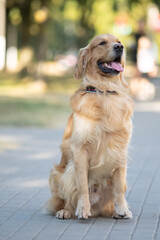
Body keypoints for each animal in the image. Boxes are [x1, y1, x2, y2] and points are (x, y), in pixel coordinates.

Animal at [47, 33, 134, 219]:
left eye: (119, 42)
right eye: (101, 43)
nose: (120, 47)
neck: (105, 91)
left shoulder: (120, 150)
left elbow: (119, 188)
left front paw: (122, 209)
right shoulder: (80, 149)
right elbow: (81, 186)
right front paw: (82, 209)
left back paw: (114, 212)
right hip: (59, 173)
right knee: (68, 198)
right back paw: (67, 211)